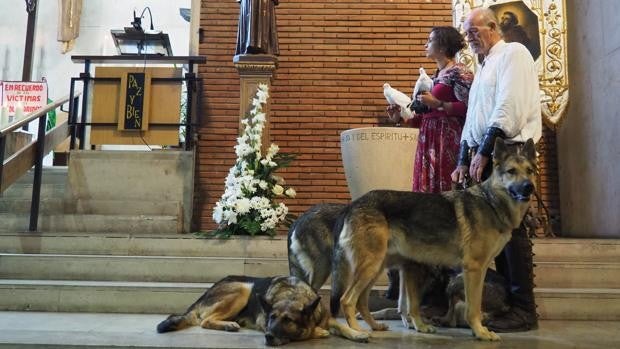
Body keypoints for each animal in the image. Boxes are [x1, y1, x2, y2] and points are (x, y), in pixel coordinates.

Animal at [156, 274, 368, 346]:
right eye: (271, 318)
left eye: (288, 320)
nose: (268, 337)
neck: (293, 295)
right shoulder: (262, 321)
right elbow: (312, 331)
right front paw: (318, 332)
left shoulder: (327, 318)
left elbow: (343, 326)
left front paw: (357, 333)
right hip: (244, 287)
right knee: (204, 320)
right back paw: (228, 325)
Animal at [330, 137, 536, 338]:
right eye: (511, 171)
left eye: (530, 171)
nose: (529, 187)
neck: (491, 202)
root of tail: (354, 203)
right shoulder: (474, 269)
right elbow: (473, 309)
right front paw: (480, 332)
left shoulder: (478, 270)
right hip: (372, 268)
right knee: (347, 300)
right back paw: (356, 332)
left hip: (375, 268)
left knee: (361, 301)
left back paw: (374, 326)